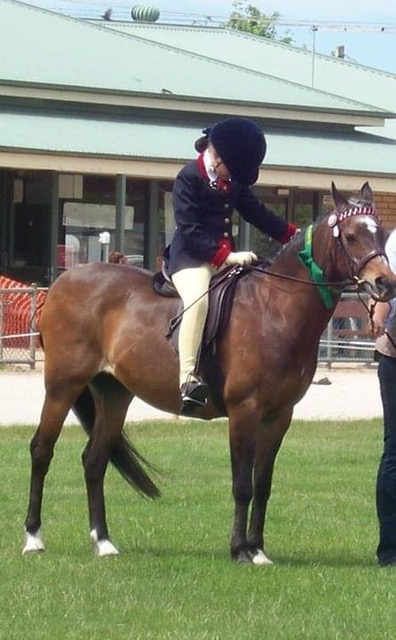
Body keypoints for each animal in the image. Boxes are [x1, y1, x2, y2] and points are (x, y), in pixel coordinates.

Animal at [24, 182, 396, 564]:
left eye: (381, 234)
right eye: (351, 236)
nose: (385, 283)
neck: (275, 308)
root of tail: (63, 281)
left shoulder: (279, 415)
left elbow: (262, 483)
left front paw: (258, 548)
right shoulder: (244, 411)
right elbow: (242, 484)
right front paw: (240, 549)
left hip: (113, 394)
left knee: (95, 460)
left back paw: (103, 541)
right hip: (62, 386)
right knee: (42, 450)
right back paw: (34, 537)